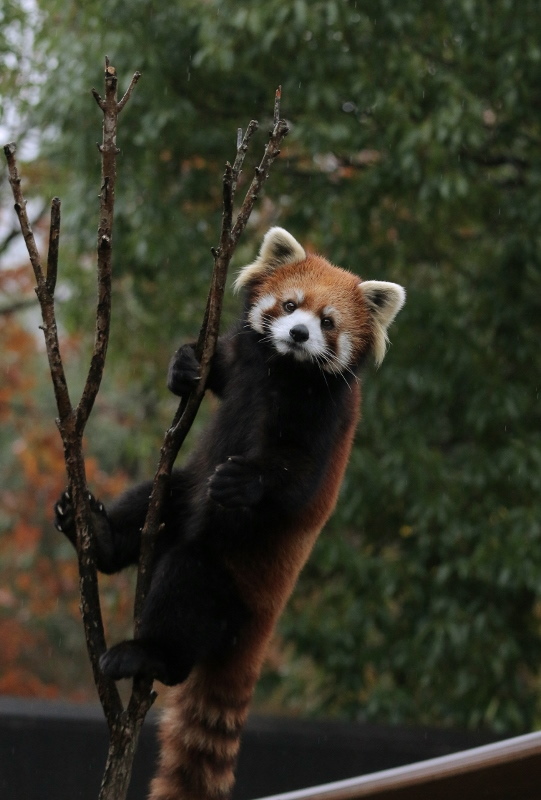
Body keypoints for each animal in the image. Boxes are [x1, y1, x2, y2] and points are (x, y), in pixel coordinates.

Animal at [54, 225, 402, 800]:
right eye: (290, 305)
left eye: (328, 322)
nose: (299, 334)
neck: (283, 370)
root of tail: (262, 627)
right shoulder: (245, 360)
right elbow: (212, 373)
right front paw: (185, 365)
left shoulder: (324, 416)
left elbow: (296, 478)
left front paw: (247, 482)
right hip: (180, 492)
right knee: (155, 499)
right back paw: (98, 533)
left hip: (226, 585)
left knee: (185, 588)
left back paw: (145, 653)